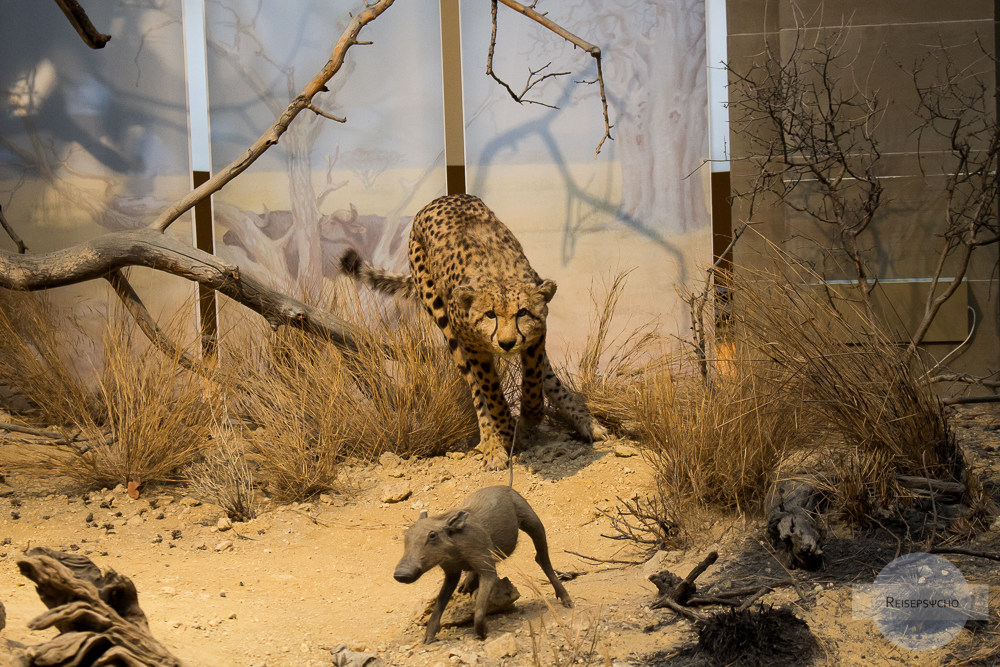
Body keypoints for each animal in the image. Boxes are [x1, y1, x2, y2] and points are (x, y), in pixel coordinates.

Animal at [340, 194, 604, 470]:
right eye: (490, 314)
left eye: (522, 313)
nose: (507, 343)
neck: (498, 274)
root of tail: (442, 198)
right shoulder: (473, 346)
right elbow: (490, 391)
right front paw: (506, 431)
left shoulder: (536, 335)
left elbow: (534, 378)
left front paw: (531, 415)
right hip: (444, 320)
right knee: (476, 390)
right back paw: (492, 442)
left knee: (548, 376)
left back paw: (585, 421)